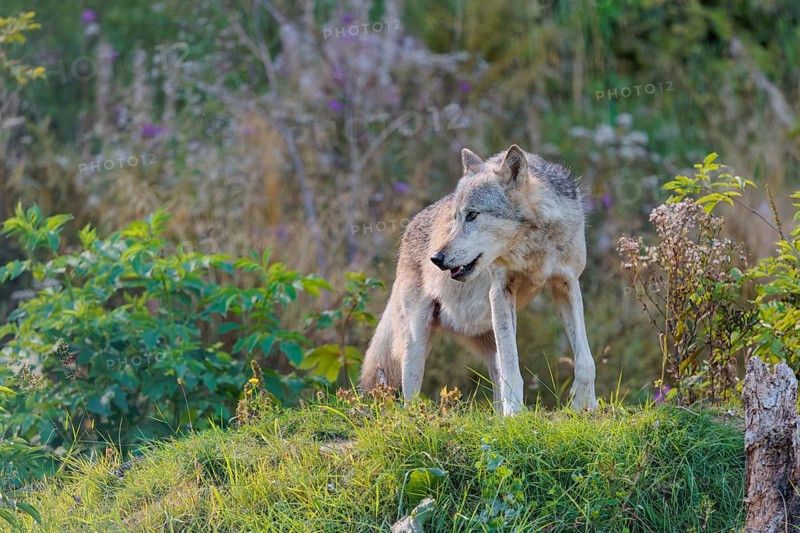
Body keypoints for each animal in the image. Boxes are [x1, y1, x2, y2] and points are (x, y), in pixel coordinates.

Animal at [359, 145, 597, 414]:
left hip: (488, 334)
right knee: (410, 394)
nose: (435, 258)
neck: (532, 248)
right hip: (416, 342)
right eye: (455, 218)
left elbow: (585, 360)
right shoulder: (500, 291)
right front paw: (515, 415)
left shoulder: (567, 285)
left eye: (472, 215)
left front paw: (585, 405)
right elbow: (512, 368)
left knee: (497, 379)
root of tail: (409, 229)